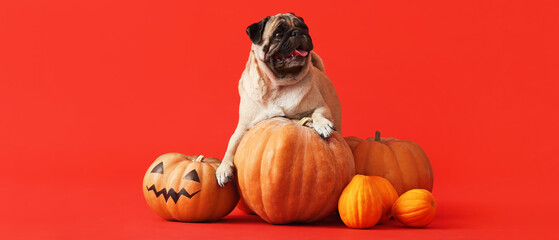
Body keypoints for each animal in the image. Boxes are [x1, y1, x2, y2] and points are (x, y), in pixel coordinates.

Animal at [218, 12, 342, 187]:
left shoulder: (321, 106)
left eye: (304, 28)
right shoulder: (243, 126)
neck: (278, 85)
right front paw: (223, 168)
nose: (297, 32)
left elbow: (318, 114)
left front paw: (322, 125)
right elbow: (231, 143)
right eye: (278, 34)